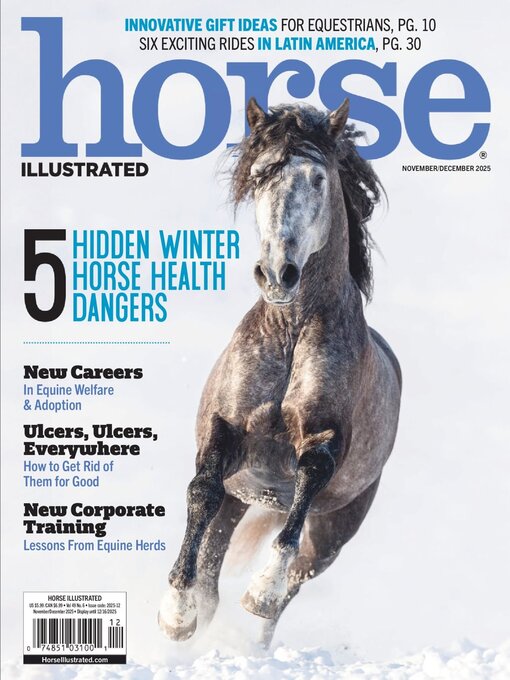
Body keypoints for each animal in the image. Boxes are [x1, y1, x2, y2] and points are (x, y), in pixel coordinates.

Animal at [158, 97, 402, 648]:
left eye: (317, 177)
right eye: (259, 175)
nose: (277, 273)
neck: (291, 333)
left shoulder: (324, 439)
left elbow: (307, 480)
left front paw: (260, 591)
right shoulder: (225, 435)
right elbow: (200, 492)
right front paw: (176, 615)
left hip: (336, 525)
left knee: (299, 576)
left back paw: (257, 632)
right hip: (241, 495)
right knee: (215, 561)